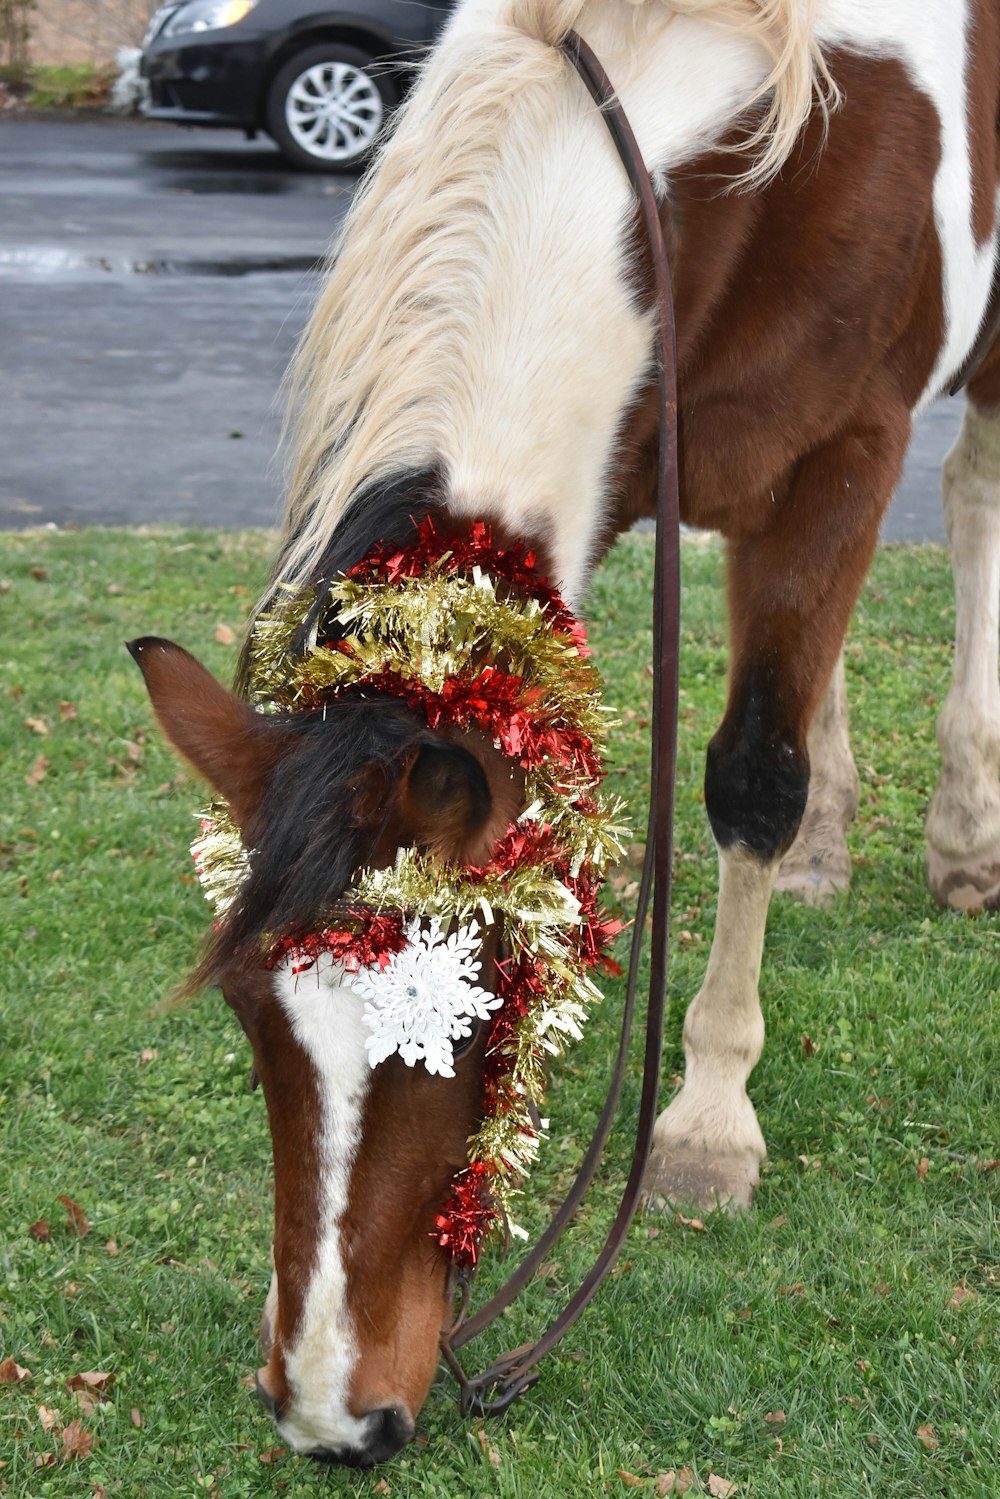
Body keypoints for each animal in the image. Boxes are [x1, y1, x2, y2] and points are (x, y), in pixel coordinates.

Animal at [131, 0, 1000, 1469]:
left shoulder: (843, 453)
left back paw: (964, 835)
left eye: (473, 1017)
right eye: (253, 1011)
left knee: (973, 485)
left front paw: (708, 1124)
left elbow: (749, 777)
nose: (328, 1411)